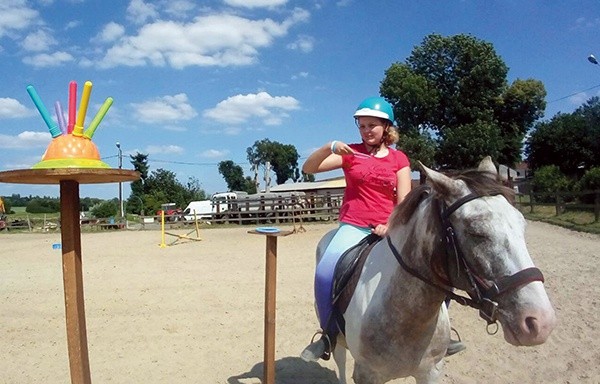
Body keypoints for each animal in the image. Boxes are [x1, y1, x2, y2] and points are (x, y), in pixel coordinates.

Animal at [316, 157, 556, 384]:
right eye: (476, 232)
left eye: (522, 226)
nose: (540, 322)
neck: (407, 318)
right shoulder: (367, 375)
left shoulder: (430, 372)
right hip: (336, 341)